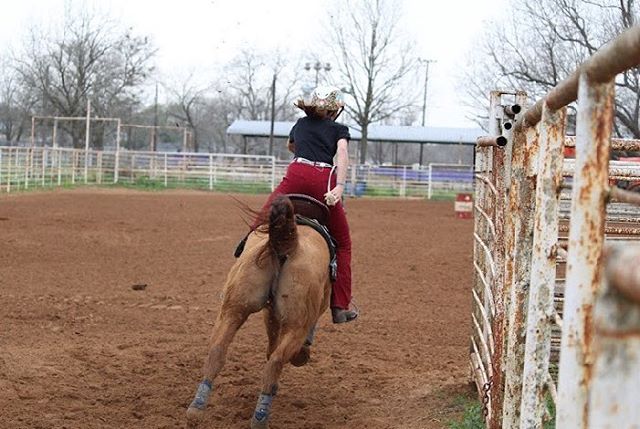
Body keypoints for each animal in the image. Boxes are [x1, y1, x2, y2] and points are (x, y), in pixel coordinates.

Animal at [186, 194, 333, 428]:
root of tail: (289, 241)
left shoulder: (270, 311)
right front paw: (302, 354)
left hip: (233, 309)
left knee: (218, 349)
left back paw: (197, 408)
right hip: (296, 324)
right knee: (276, 362)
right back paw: (260, 417)